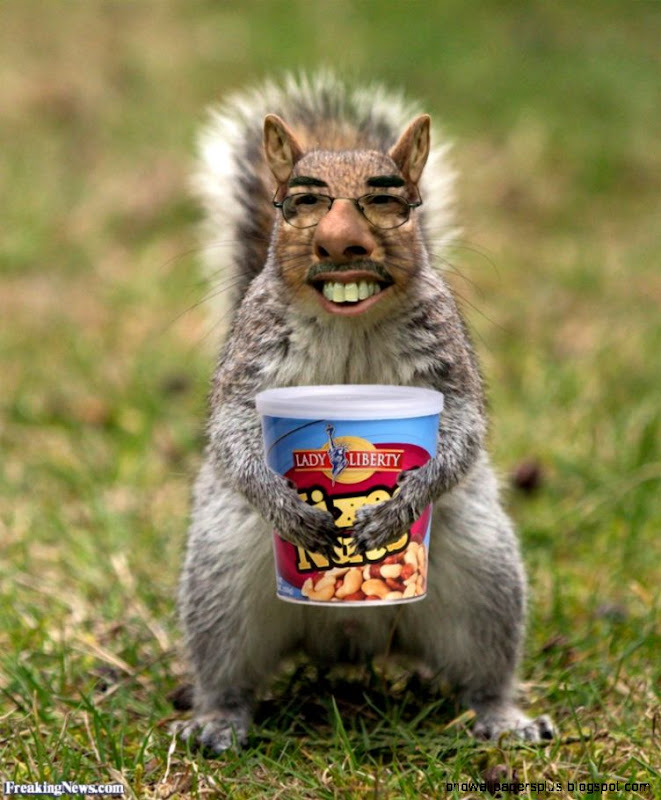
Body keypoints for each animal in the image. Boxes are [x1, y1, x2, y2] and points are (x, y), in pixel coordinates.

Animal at [177, 72, 555, 753]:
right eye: (297, 205)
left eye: (393, 204)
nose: (339, 245)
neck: (348, 320)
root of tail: (349, 639)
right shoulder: (249, 360)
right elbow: (231, 429)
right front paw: (289, 508)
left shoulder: (448, 362)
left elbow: (464, 428)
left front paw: (398, 507)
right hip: (219, 585)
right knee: (226, 672)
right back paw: (218, 721)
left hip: (486, 583)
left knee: (483, 672)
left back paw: (504, 719)